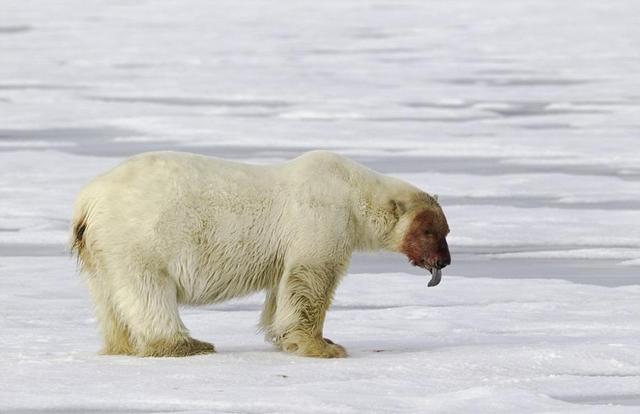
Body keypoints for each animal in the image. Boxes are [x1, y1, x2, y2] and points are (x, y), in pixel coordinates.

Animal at [71, 150, 450, 358]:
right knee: (148, 290)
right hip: (140, 235)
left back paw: (121, 345)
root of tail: (88, 199)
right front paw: (322, 346)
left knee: (107, 297)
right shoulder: (321, 218)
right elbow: (311, 280)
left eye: (446, 231)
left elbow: (282, 288)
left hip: (100, 250)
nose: (444, 261)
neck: (352, 191)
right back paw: (186, 344)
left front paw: (293, 338)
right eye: (430, 231)